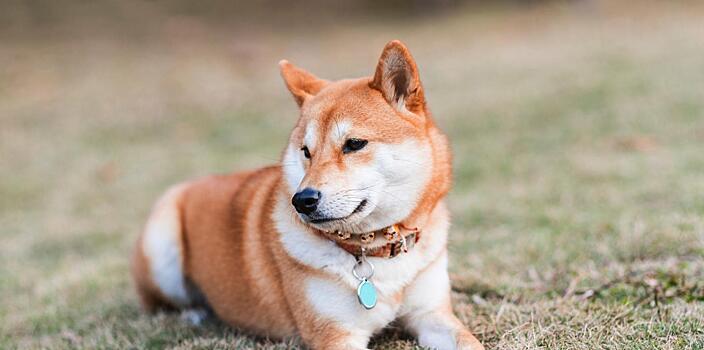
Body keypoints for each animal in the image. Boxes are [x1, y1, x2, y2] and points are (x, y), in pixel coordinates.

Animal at [131, 40, 484, 350]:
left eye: (354, 144)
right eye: (306, 151)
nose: (302, 200)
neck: (374, 251)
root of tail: (191, 183)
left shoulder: (432, 314)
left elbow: (470, 343)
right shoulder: (336, 335)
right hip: (162, 244)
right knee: (158, 303)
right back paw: (194, 312)